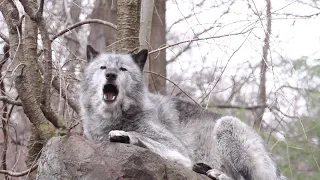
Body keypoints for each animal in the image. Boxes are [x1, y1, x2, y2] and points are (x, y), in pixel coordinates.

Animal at [79, 45, 284, 180]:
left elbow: (138, 134)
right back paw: (205, 169)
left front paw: (125, 135)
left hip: (226, 124)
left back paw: (218, 174)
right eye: (103, 67)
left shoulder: (178, 148)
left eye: (123, 69)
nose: (111, 75)